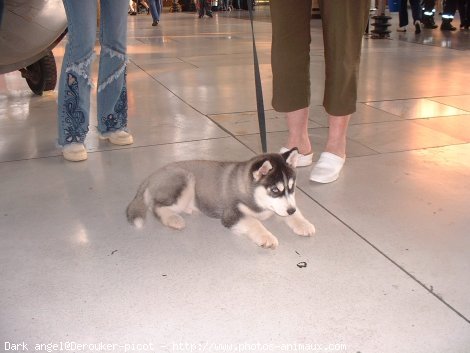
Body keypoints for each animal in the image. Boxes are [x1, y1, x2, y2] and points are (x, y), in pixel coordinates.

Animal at [126, 147, 314, 249]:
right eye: (275, 190)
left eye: (292, 187)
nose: (290, 210)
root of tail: (153, 175)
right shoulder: (232, 214)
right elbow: (254, 222)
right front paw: (266, 237)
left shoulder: (279, 208)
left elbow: (295, 213)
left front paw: (304, 224)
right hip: (185, 180)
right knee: (157, 207)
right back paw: (174, 219)